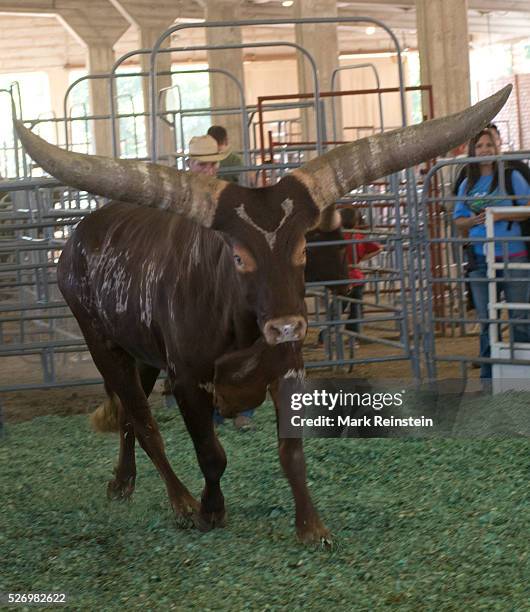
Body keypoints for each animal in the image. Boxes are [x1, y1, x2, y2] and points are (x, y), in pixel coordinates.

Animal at [14, 85, 510, 540]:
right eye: (238, 257)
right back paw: (180, 502)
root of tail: (79, 238)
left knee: (128, 421)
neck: (239, 325)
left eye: (304, 248)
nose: (287, 325)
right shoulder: (188, 380)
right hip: (103, 344)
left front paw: (311, 526)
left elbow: (292, 452)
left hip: (143, 354)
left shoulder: (288, 368)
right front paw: (211, 510)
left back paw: (123, 481)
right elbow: (211, 453)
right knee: (142, 419)